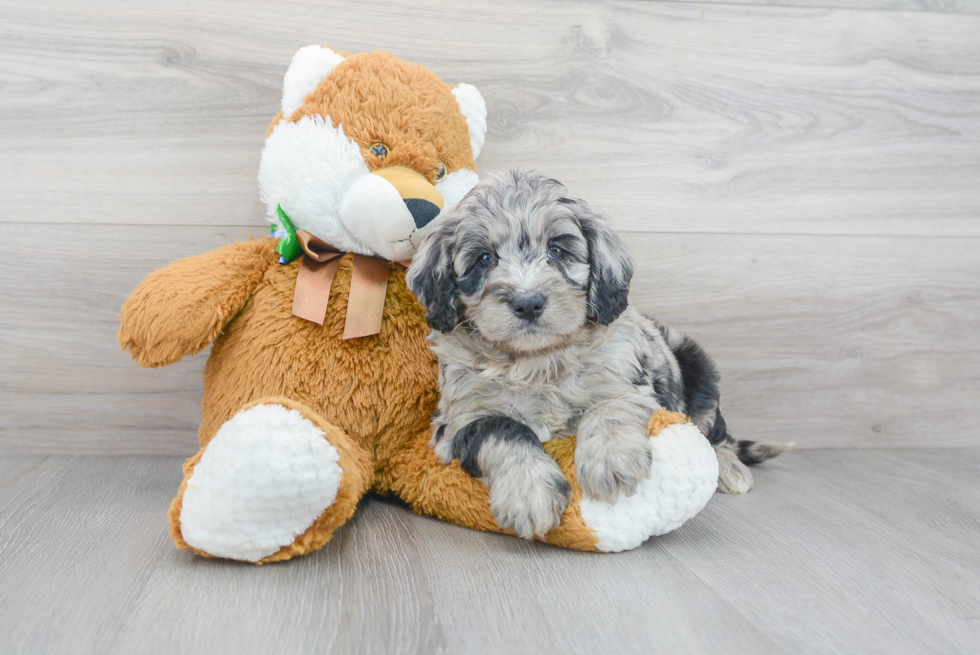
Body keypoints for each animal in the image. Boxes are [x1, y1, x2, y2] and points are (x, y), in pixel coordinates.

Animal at [406, 172, 788, 540]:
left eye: (557, 250)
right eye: (485, 258)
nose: (528, 303)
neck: (536, 361)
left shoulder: (627, 380)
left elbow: (608, 408)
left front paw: (612, 461)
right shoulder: (459, 419)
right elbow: (504, 429)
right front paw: (528, 492)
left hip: (699, 369)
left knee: (716, 431)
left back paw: (730, 468)